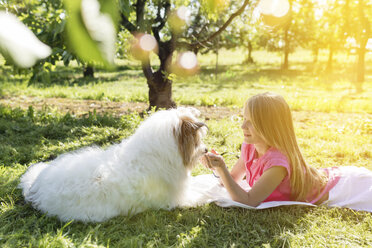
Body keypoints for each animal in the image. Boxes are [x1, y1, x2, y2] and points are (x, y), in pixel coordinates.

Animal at [18, 107, 208, 222]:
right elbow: (201, 192)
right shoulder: (179, 199)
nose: (206, 150)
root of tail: (36, 185)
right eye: (197, 141)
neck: (152, 156)